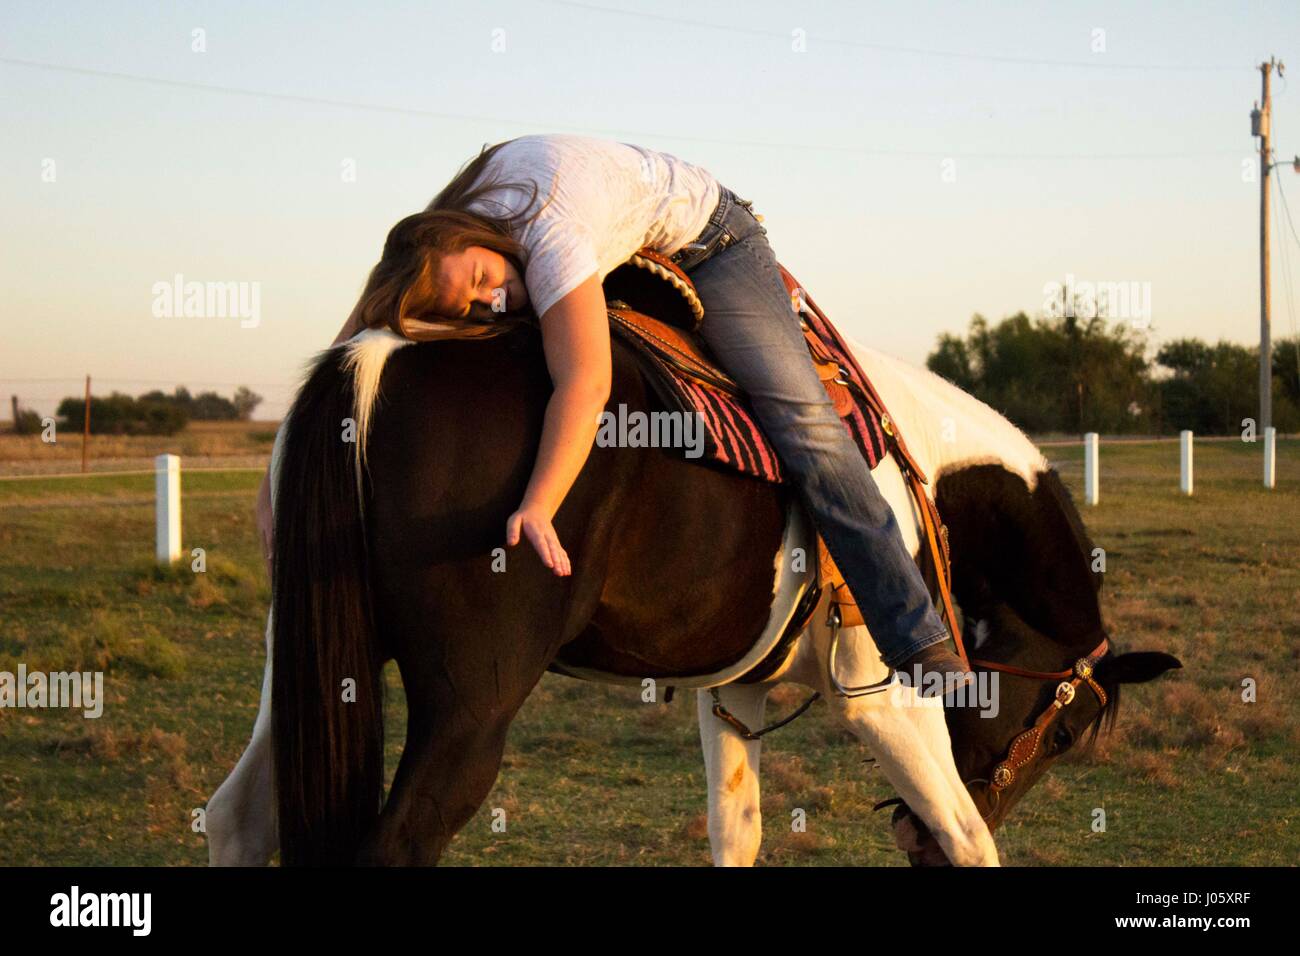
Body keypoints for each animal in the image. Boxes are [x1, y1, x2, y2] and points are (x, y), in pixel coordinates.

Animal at [205, 320, 1179, 866]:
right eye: (1062, 733)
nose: (909, 844)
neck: (921, 483)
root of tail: (377, 362)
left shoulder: (733, 692)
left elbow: (737, 833)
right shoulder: (887, 701)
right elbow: (974, 843)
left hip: (310, 669)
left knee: (236, 820)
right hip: (467, 714)